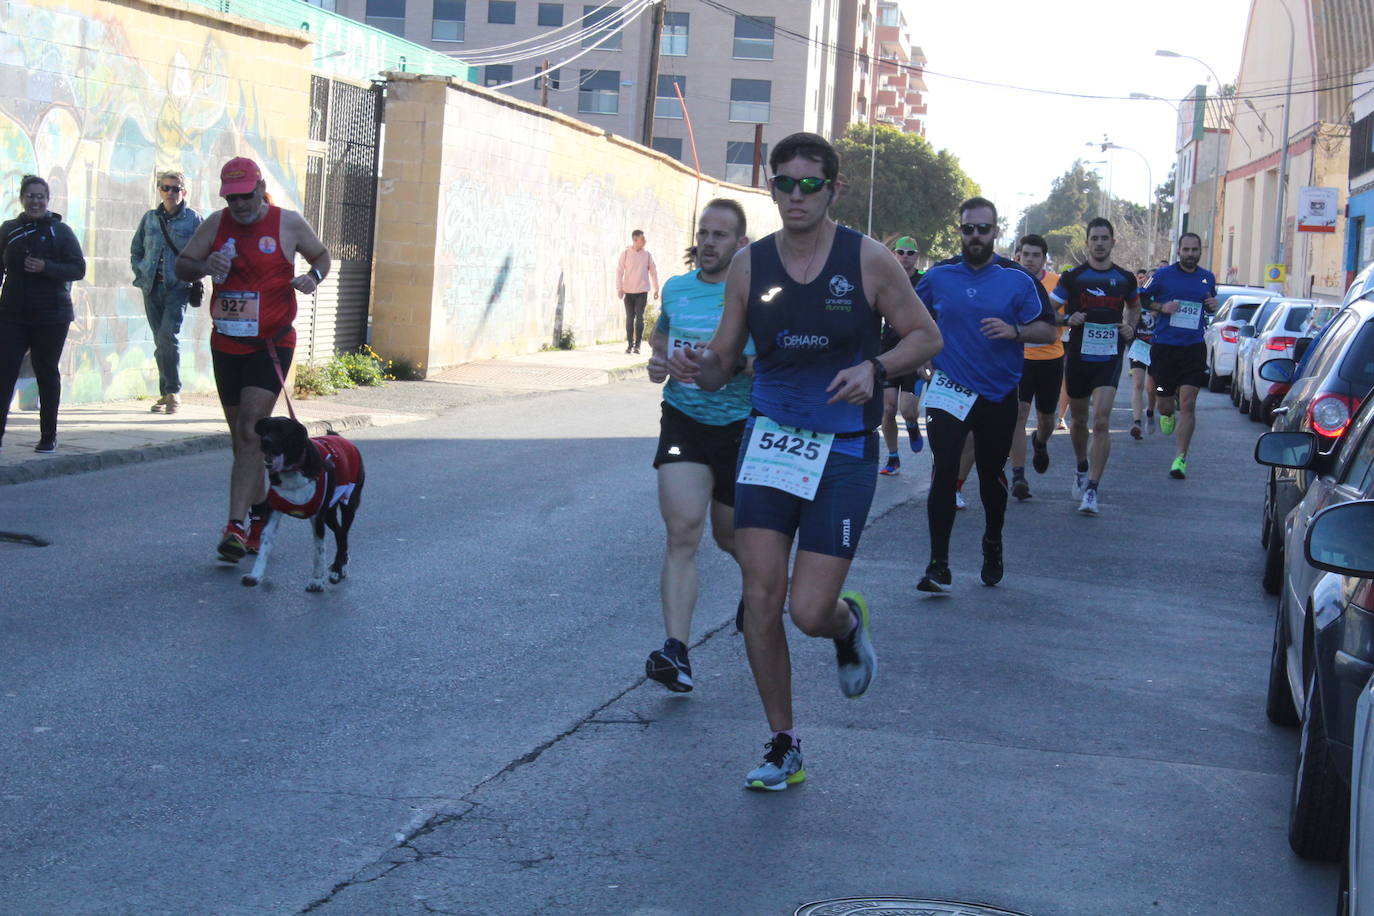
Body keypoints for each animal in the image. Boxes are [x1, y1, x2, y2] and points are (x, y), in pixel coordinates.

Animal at [244, 417, 365, 596]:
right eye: (266, 429)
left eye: (282, 431)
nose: (266, 441)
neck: (292, 470)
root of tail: (341, 438)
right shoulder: (274, 514)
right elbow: (264, 546)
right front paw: (255, 575)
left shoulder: (317, 519)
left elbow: (319, 552)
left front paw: (316, 581)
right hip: (329, 513)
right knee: (339, 532)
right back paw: (340, 564)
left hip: (348, 504)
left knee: (343, 535)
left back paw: (338, 569)